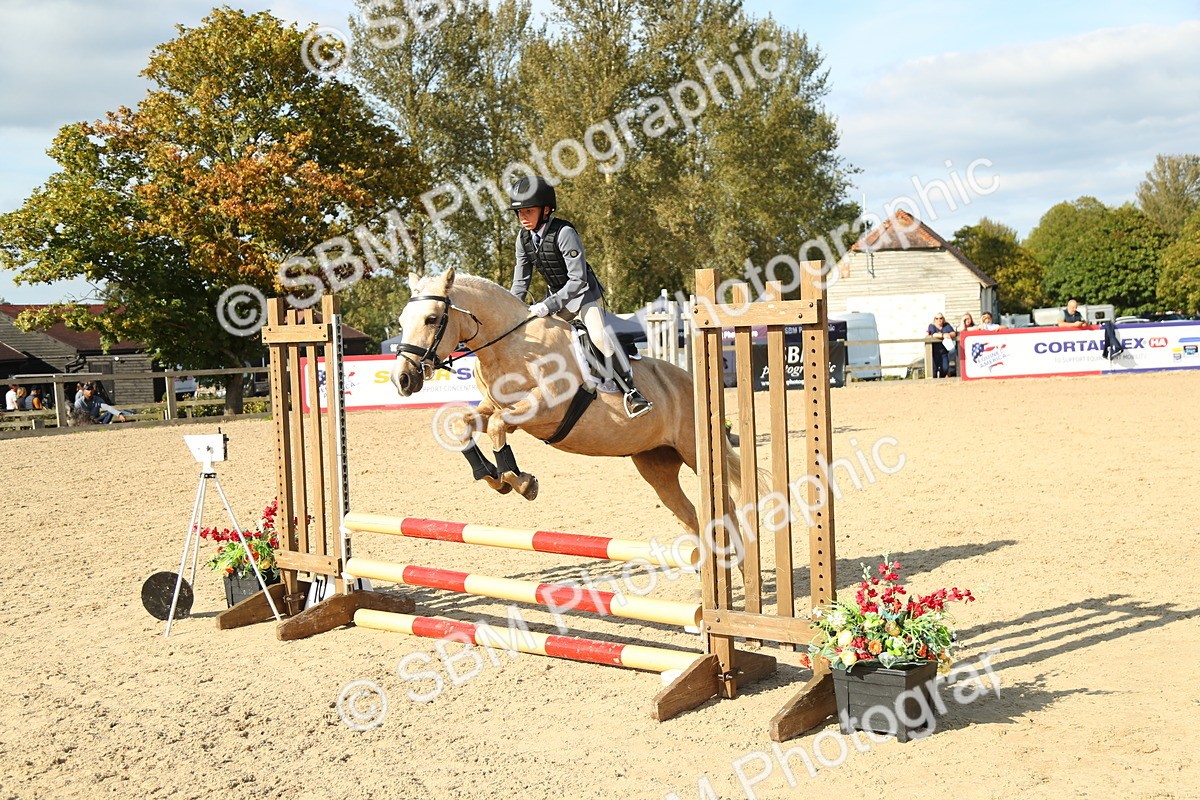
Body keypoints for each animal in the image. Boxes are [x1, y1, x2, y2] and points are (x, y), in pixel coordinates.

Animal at [390, 267, 740, 537]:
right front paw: (492, 476)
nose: (402, 379)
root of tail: (690, 380)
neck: (512, 346)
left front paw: (522, 482)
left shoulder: (545, 408)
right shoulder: (493, 407)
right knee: (690, 514)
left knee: (727, 507)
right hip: (656, 462)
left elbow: (498, 427)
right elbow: (466, 424)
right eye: (402, 320)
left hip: (694, 452)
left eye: (432, 318)